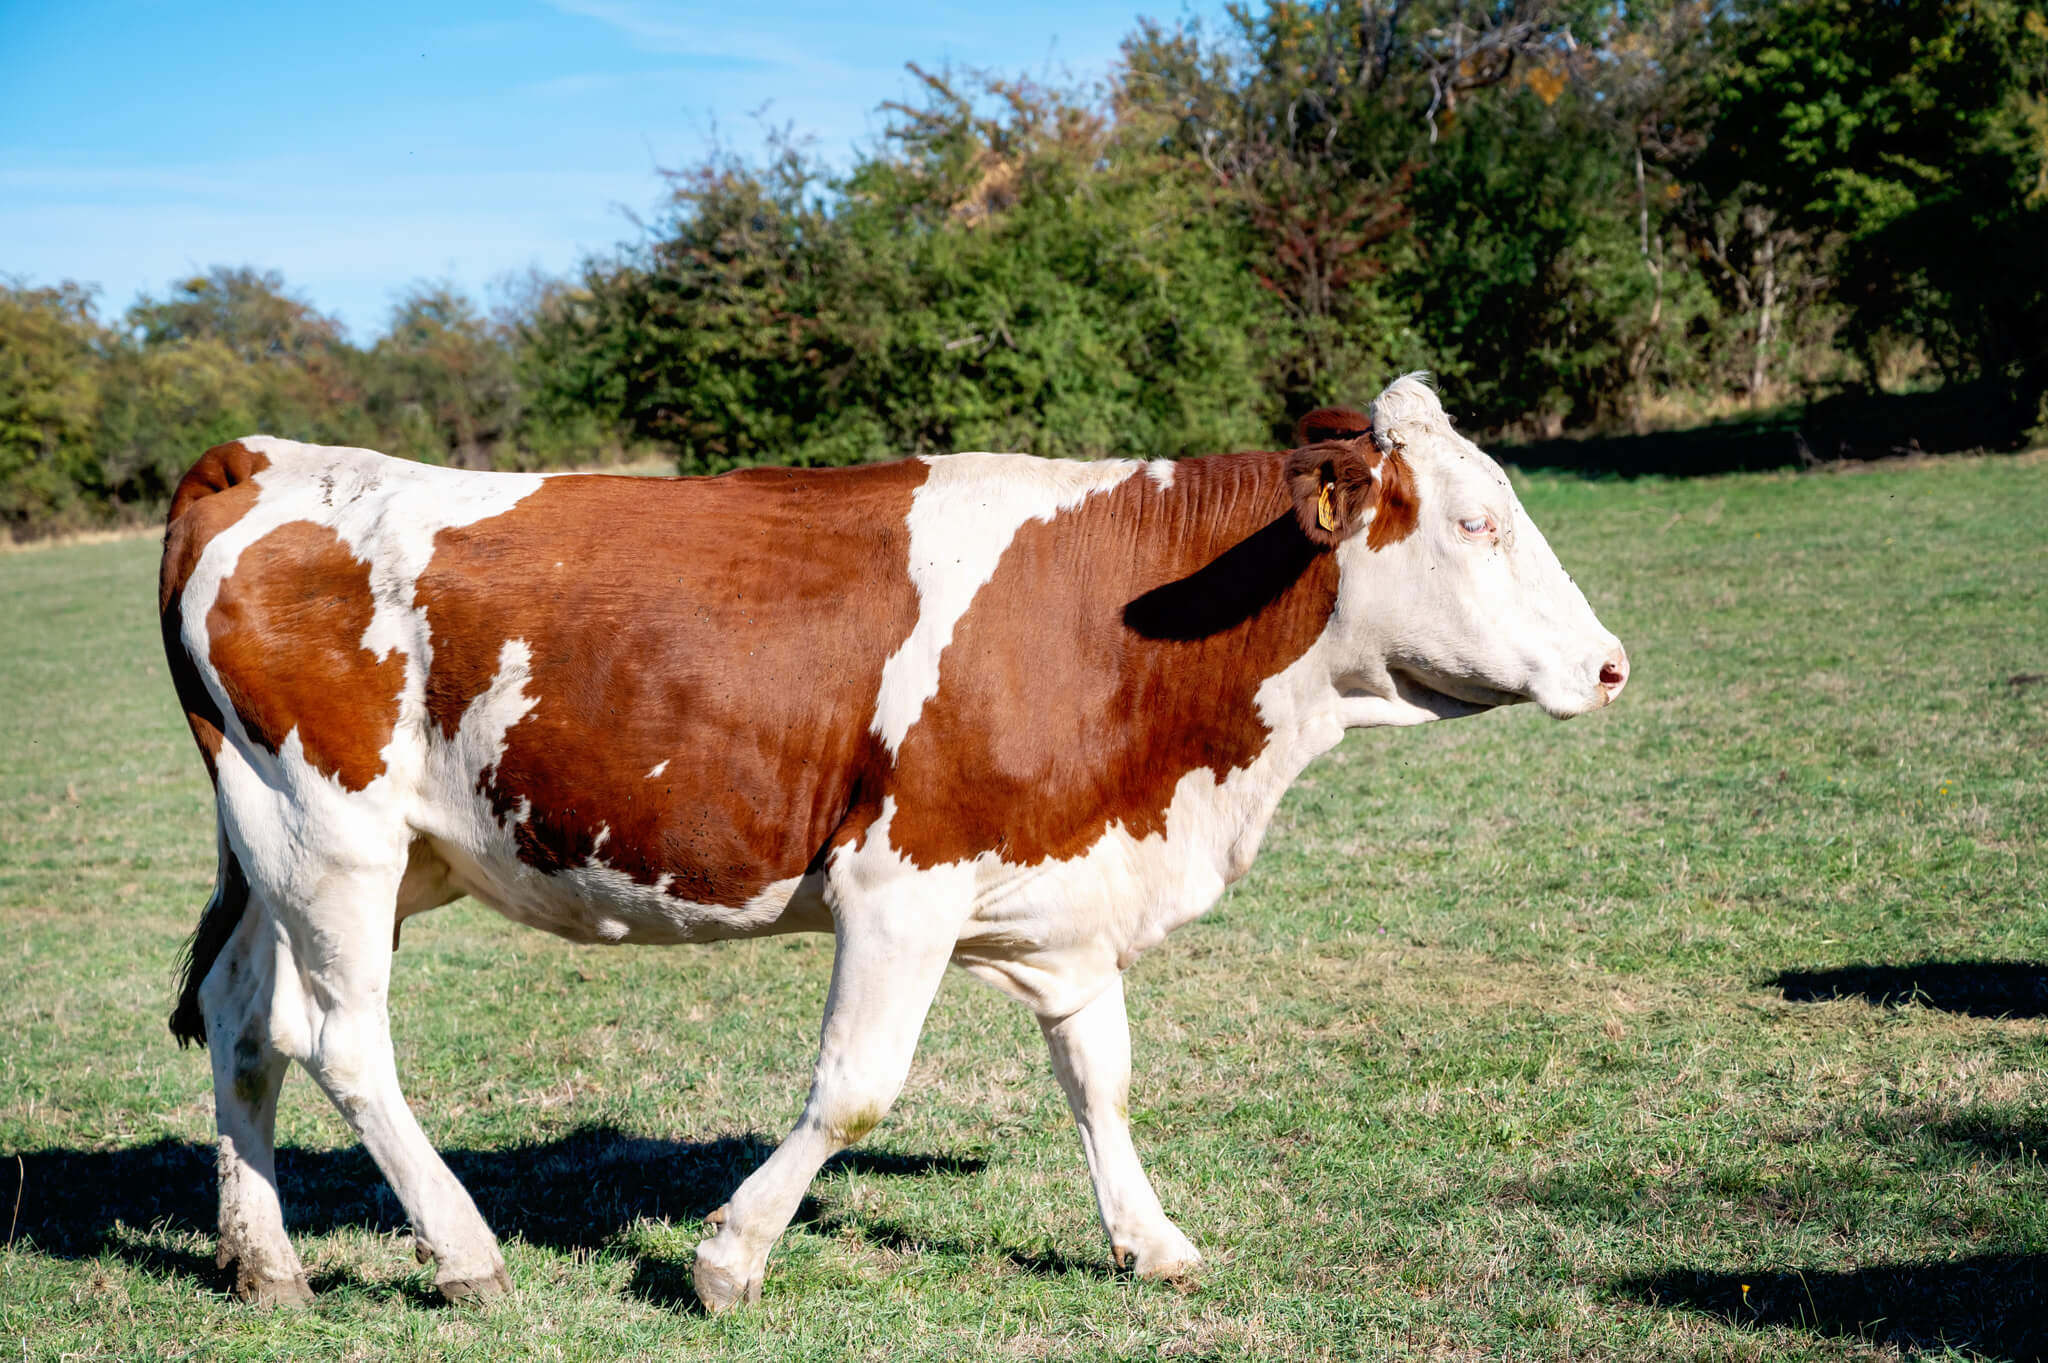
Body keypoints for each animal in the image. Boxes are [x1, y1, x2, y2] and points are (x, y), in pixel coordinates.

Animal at [157, 374, 1626, 1311]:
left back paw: (264, 1260)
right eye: (1479, 520)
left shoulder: (1066, 889)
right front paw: (728, 1258)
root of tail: (262, 457)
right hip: (329, 834)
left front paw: (1147, 1237)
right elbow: (856, 1086)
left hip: (324, 854)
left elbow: (1100, 1077)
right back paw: (464, 1250)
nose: (1612, 665)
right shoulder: (898, 879)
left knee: (242, 1022)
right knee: (342, 1042)